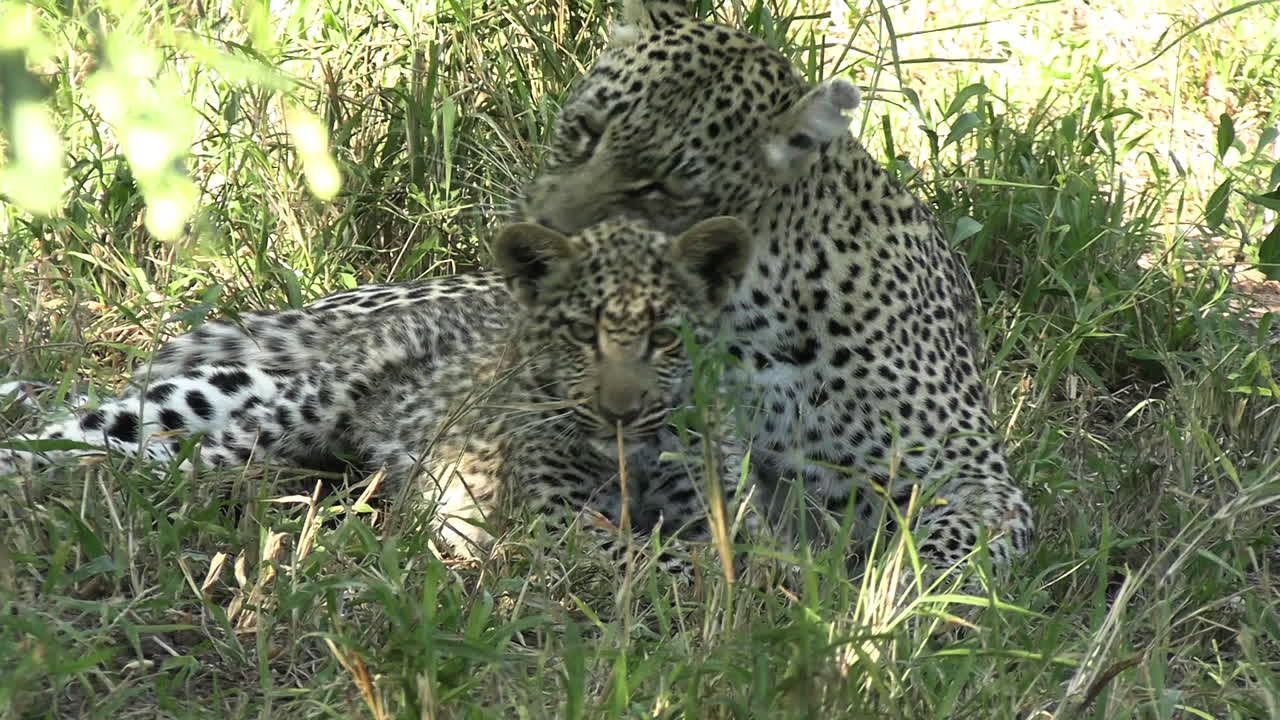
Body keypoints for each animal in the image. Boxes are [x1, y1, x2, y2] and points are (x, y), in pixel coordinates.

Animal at [1, 217, 756, 572]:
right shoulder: (554, 518)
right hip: (269, 410)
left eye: (663, 336)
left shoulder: (716, 508)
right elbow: (653, 558)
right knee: (118, 444)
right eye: (579, 332)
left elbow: (724, 552)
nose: (618, 411)